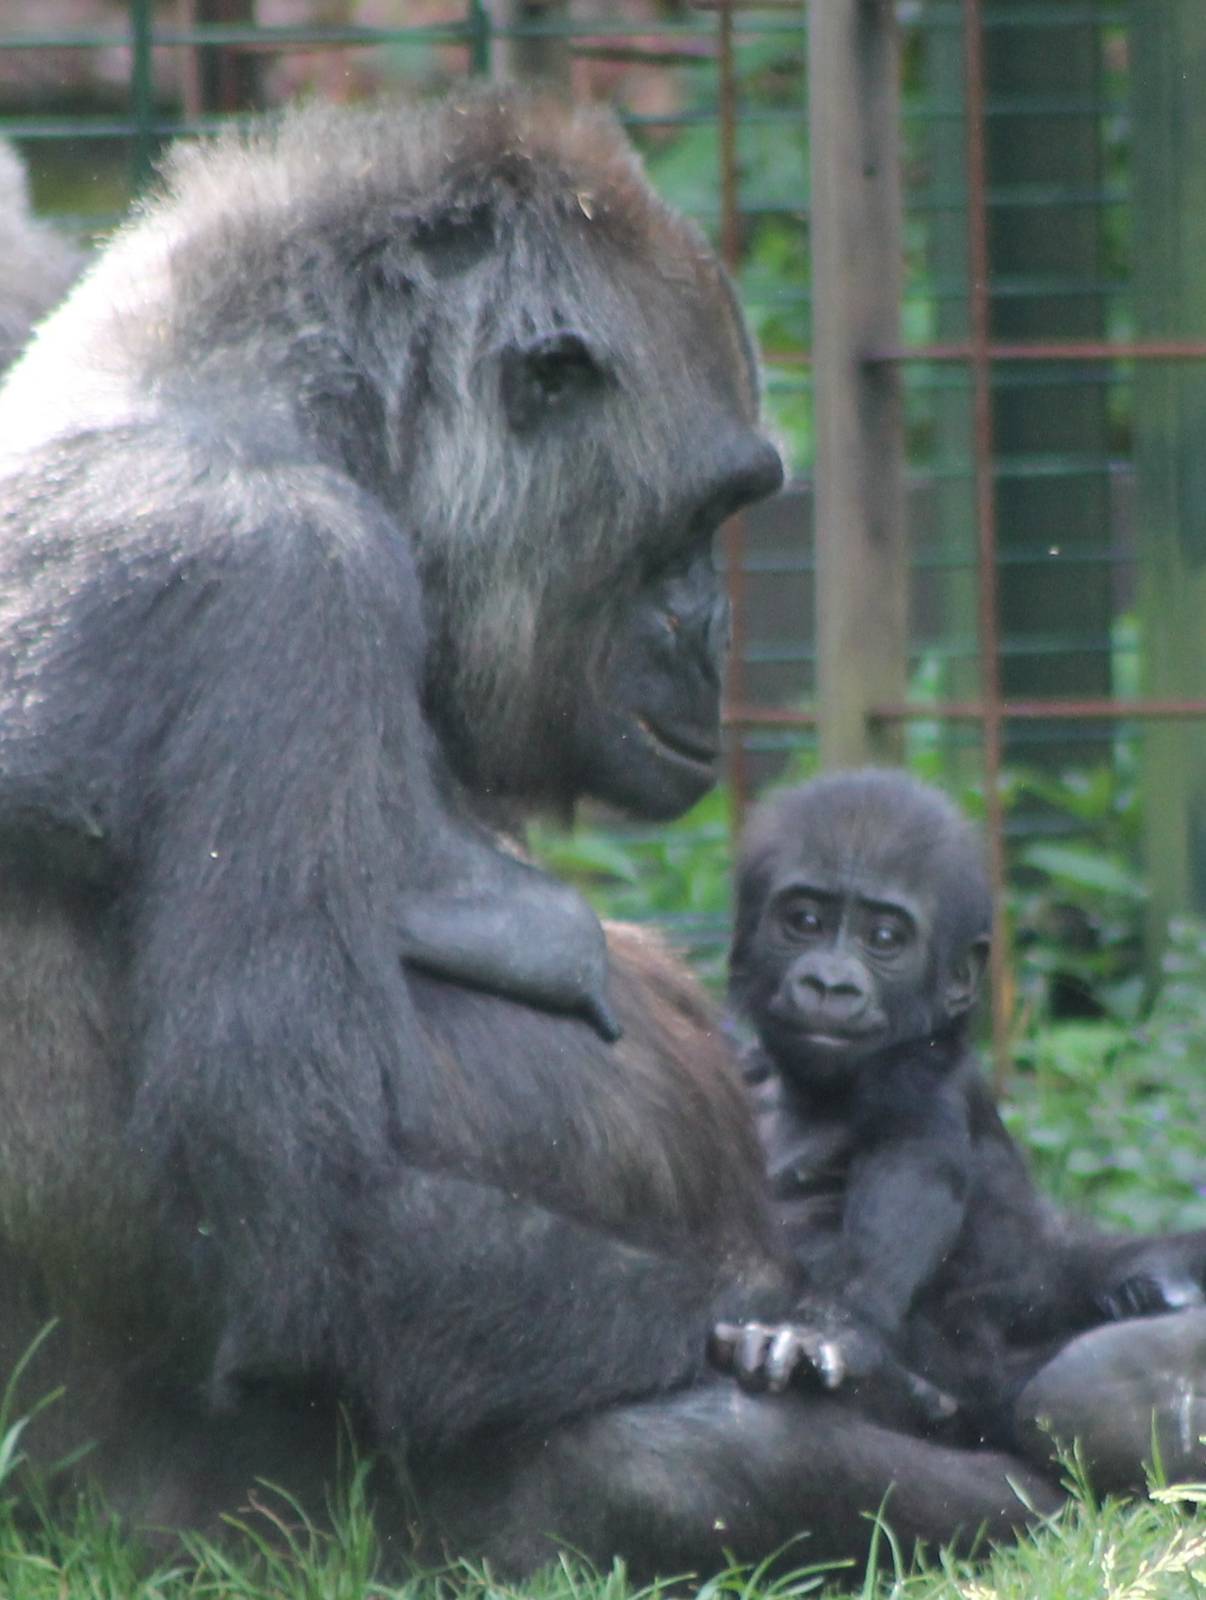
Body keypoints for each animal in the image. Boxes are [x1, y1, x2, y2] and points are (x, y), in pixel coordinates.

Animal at [713, 769, 1206, 1488]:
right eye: (804, 921)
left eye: (884, 938)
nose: (829, 984)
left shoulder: (921, 1078)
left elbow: (911, 1178)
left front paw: (837, 1326)